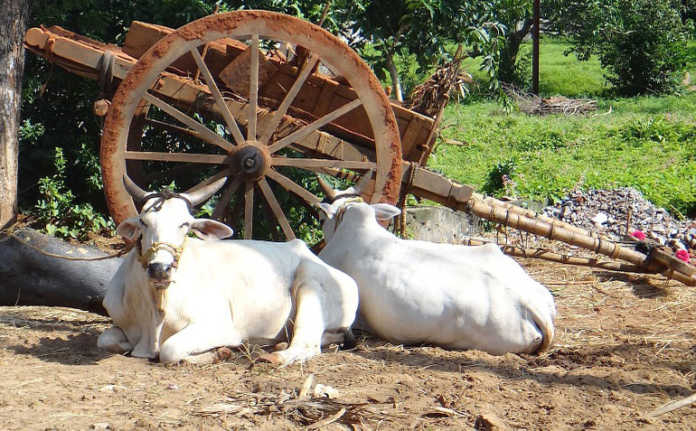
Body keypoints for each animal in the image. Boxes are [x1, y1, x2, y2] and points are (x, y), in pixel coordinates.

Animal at [97, 176, 359, 366]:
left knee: (307, 344)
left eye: (185, 224)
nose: (160, 268)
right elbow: (105, 339)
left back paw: (273, 355)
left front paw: (219, 353)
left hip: (310, 282)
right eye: (144, 221)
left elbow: (169, 350)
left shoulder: (219, 326)